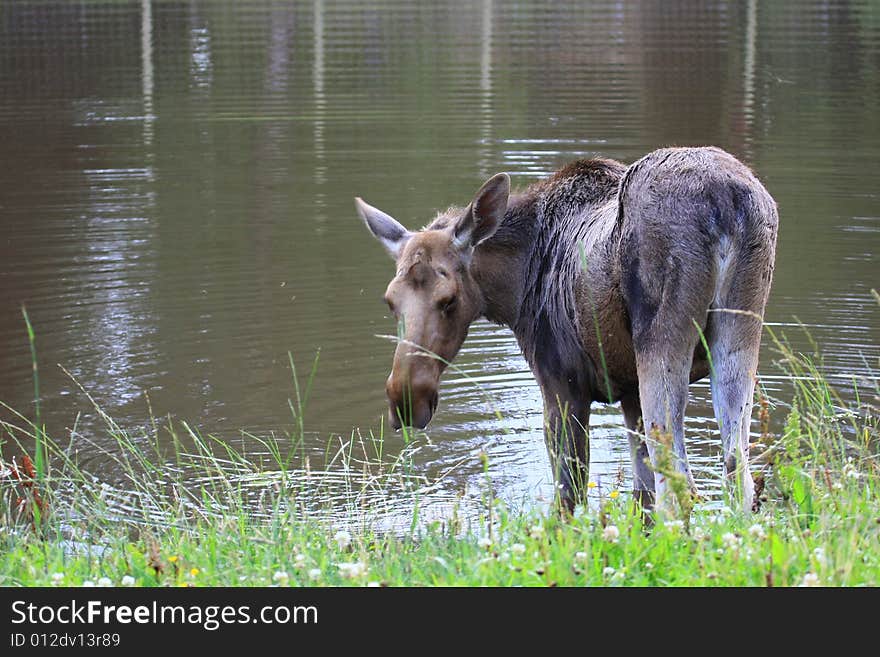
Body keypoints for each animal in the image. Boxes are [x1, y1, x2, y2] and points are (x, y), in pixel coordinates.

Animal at [354, 149, 780, 512]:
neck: (514, 287)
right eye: (390, 301)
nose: (405, 398)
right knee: (736, 473)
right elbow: (640, 500)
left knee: (681, 486)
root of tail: (728, 202)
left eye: (449, 301)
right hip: (740, 331)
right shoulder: (628, 395)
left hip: (661, 344)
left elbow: (568, 498)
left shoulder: (562, 383)